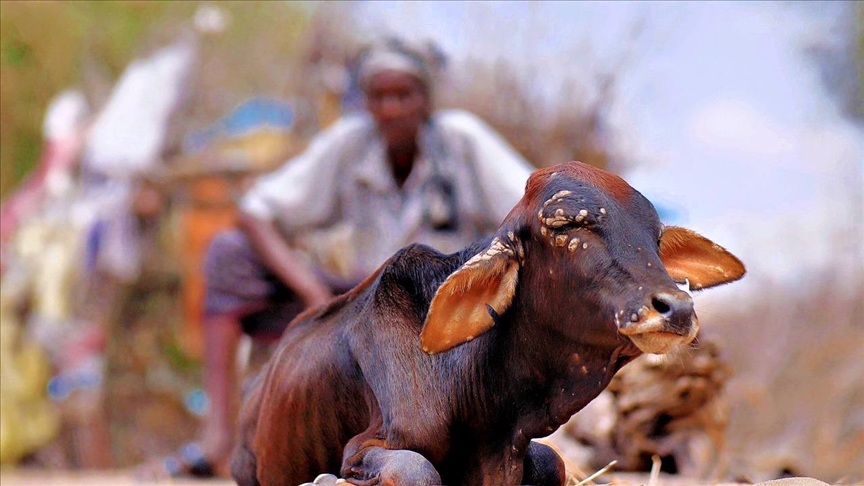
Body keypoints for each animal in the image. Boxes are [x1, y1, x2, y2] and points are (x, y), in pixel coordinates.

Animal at [233, 162, 744, 486]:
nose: (677, 307)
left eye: (655, 238)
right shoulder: (365, 447)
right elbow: (415, 471)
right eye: (565, 224)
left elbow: (552, 463)